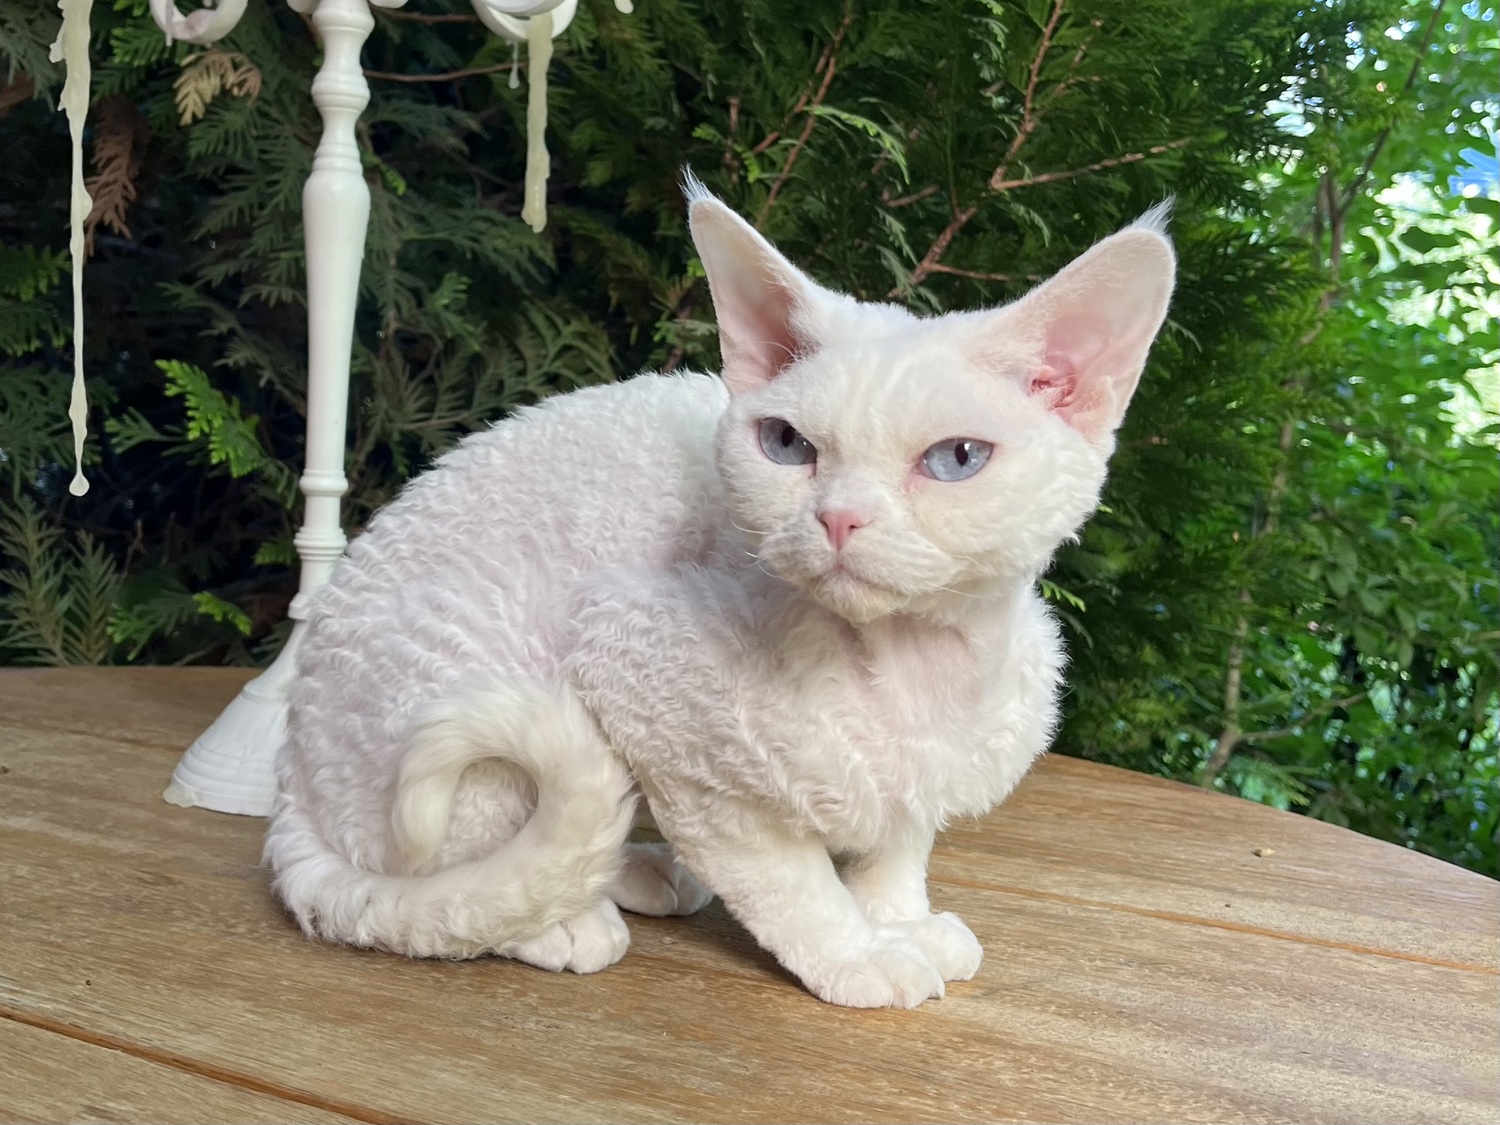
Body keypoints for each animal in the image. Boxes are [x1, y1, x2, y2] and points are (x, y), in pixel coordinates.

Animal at [273, 183, 1182, 1014]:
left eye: (957, 458)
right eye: (786, 444)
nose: (838, 516)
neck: (914, 667)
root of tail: (290, 784)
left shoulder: (928, 768)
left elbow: (899, 842)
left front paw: (898, 918)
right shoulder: (651, 688)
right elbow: (789, 880)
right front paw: (861, 951)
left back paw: (639, 870)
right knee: (473, 873)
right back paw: (564, 917)